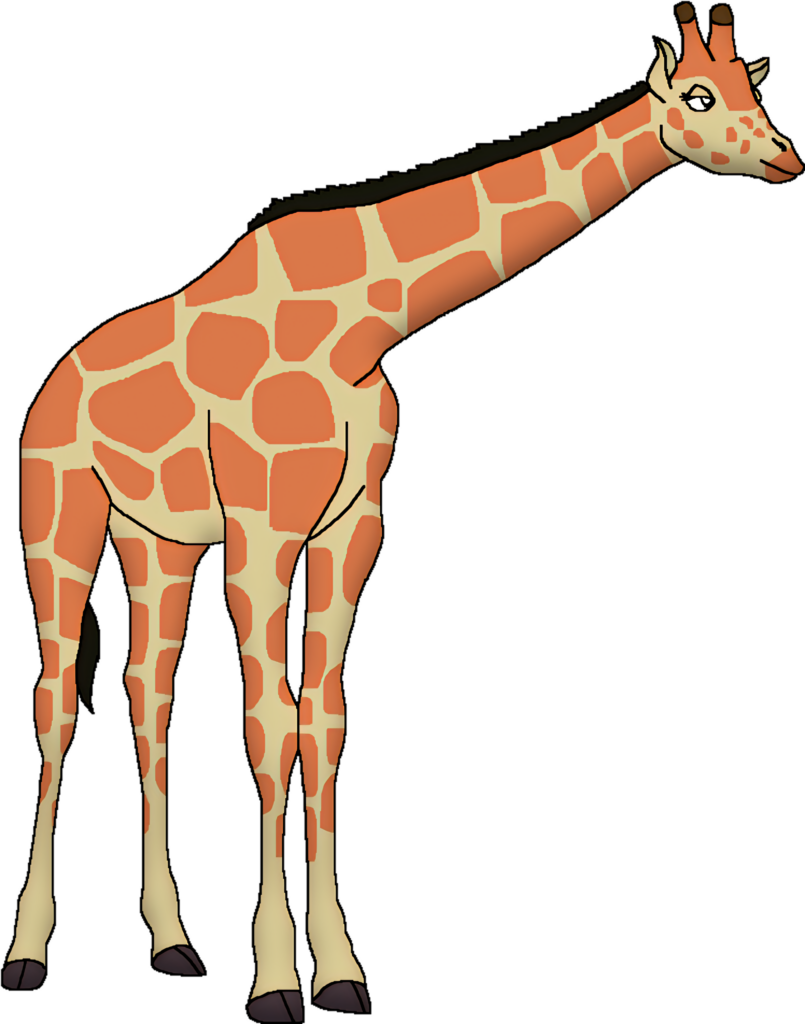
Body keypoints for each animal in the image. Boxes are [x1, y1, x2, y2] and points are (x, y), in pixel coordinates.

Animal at [6, 3, 800, 1020]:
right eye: (697, 96)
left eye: (753, 88)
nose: (784, 155)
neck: (362, 322)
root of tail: (51, 381)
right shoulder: (265, 523)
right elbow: (271, 722)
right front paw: (275, 982)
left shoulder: (352, 527)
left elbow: (325, 720)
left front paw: (340, 970)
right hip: (58, 508)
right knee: (58, 695)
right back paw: (27, 953)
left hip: (155, 535)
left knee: (149, 689)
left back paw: (173, 943)